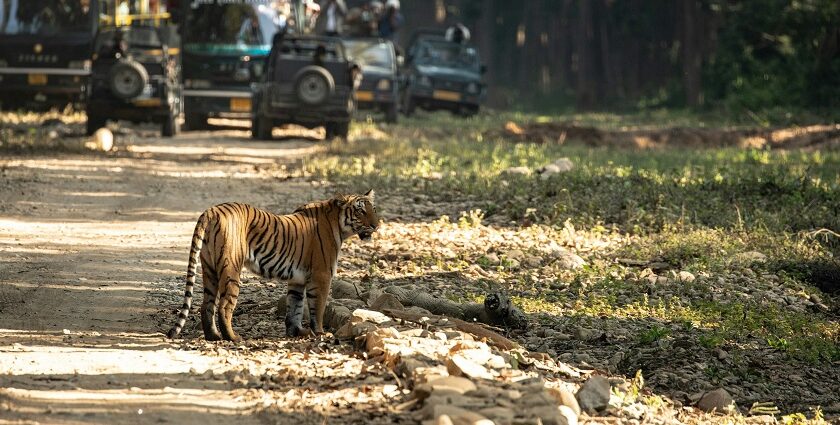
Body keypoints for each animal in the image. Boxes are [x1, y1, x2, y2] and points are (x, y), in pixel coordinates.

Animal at [166, 190, 378, 342]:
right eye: (360, 210)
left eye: (373, 209)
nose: (376, 225)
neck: (338, 225)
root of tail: (211, 211)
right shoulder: (322, 275)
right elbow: (317, 307)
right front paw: (319, 333)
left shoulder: (297, 280)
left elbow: (295, 307)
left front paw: (297, 332)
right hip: (231, 268)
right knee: (224, 306)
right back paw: (233, 337)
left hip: (209, 268)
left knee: (206, 305)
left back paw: (213, 337)